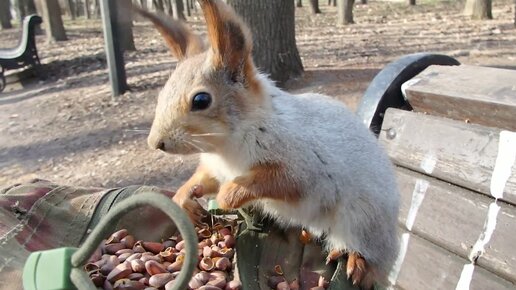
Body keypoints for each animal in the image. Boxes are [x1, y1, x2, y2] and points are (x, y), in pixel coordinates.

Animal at [136, 1, 400, 288]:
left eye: (201, 100)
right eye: (162, 93)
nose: (156, 143)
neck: (225, 148)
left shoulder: (305, 165)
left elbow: (275, 181)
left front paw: (227, 195)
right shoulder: (216, 168)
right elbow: (204, 179)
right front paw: (185, 196)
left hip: (363, 222)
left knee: (369, 256)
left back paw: (355, 259)